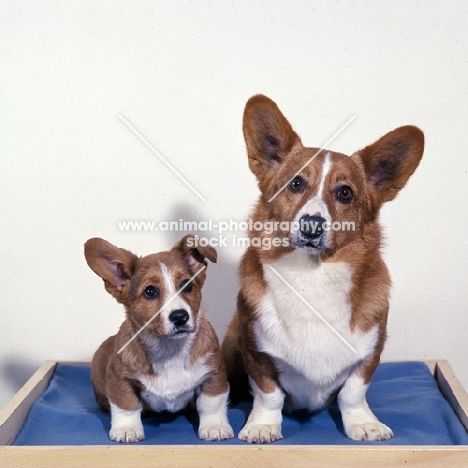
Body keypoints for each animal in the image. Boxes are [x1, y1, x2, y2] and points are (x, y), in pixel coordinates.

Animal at [84, 234, 234, 442]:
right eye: (150, 291)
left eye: (187, 285)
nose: (180, 317)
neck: (169, 348)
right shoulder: (118, 378)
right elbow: (126, 405)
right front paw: (127, 429)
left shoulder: (213, 373)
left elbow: (211, 403)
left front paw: (215, 426)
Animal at [223, 94, 424, 442]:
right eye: (295, 184)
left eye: (345, 193)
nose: (312, 225)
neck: (312, 276)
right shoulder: (255, 352)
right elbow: (268, 394)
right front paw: (262, 425)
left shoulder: (370, 353)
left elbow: (353, 393)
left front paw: (363, 423)